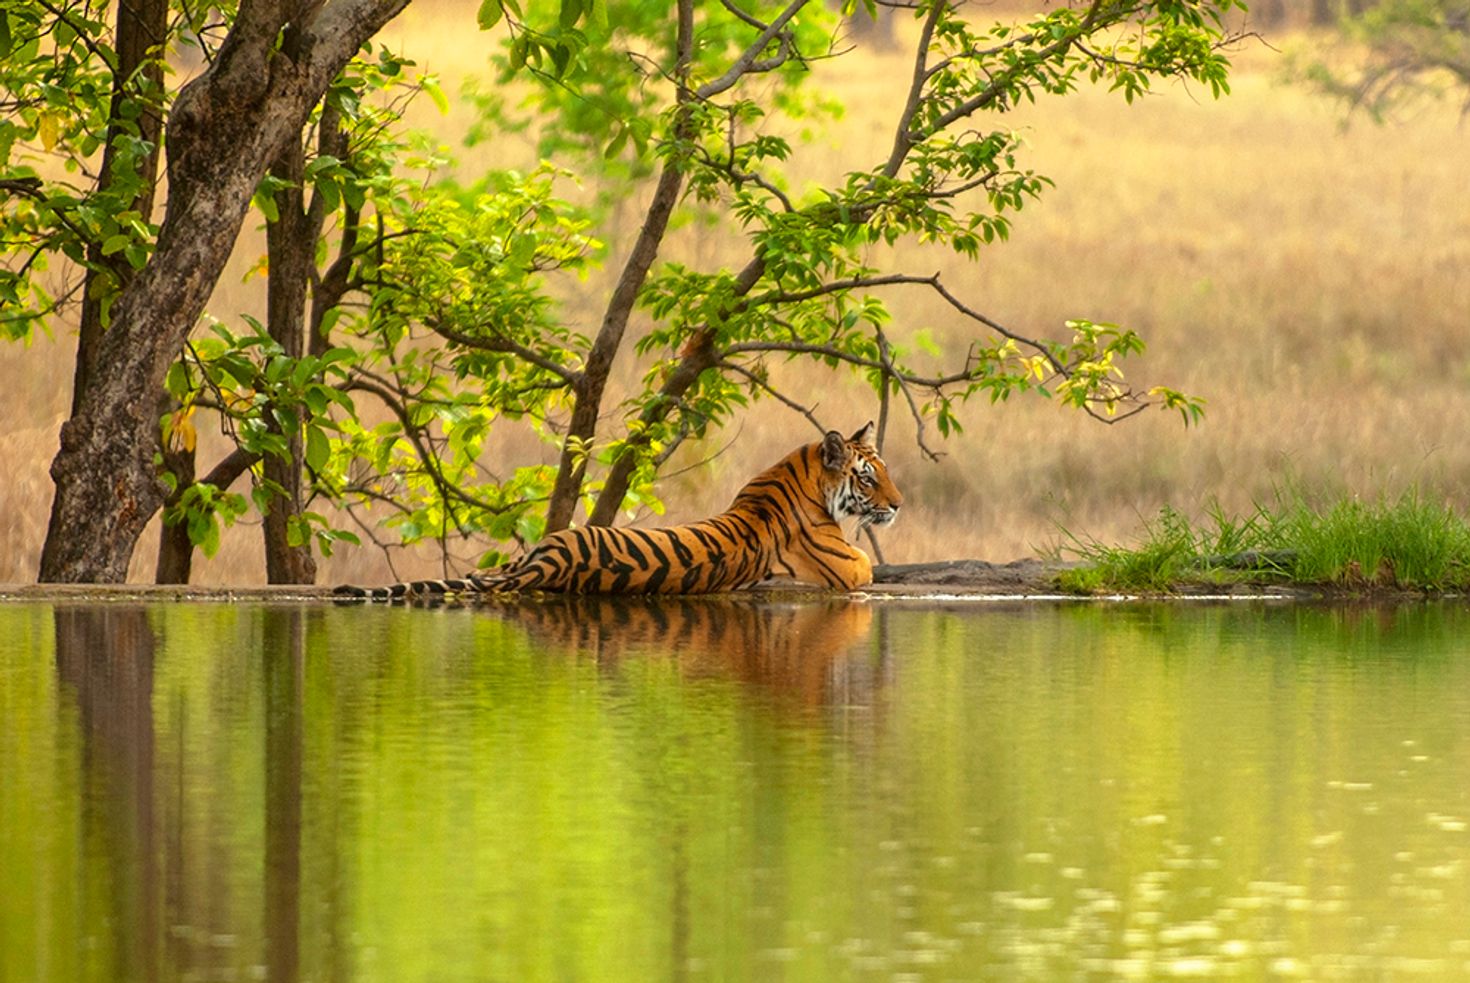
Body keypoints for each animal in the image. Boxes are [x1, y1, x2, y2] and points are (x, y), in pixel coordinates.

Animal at [334, 422, 902, 600]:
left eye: (885, 471)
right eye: (868, 477)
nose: (898, 505)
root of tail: (548, 563)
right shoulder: (850, 566)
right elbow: (869, 565)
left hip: (529, 553)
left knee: (484, 573)